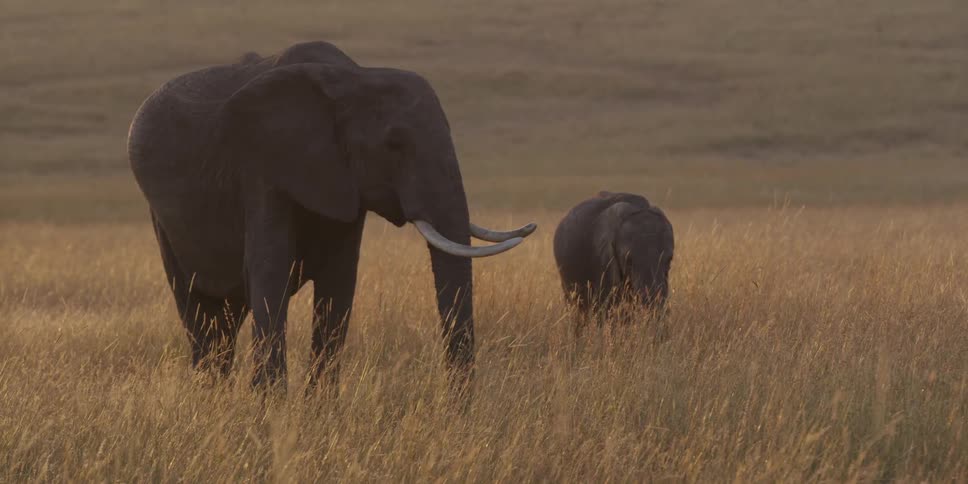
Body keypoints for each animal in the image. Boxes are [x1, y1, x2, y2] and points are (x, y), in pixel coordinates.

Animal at [126, 40, 536, 392]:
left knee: (225, 320)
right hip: (162, 222)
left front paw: (318, 410)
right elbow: (271, 271)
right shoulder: (261, 166)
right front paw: (270, 410)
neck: (353, 80)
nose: (454, 410)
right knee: (200, 314)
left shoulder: (344, 182)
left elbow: (339, 283)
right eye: (394, 143)